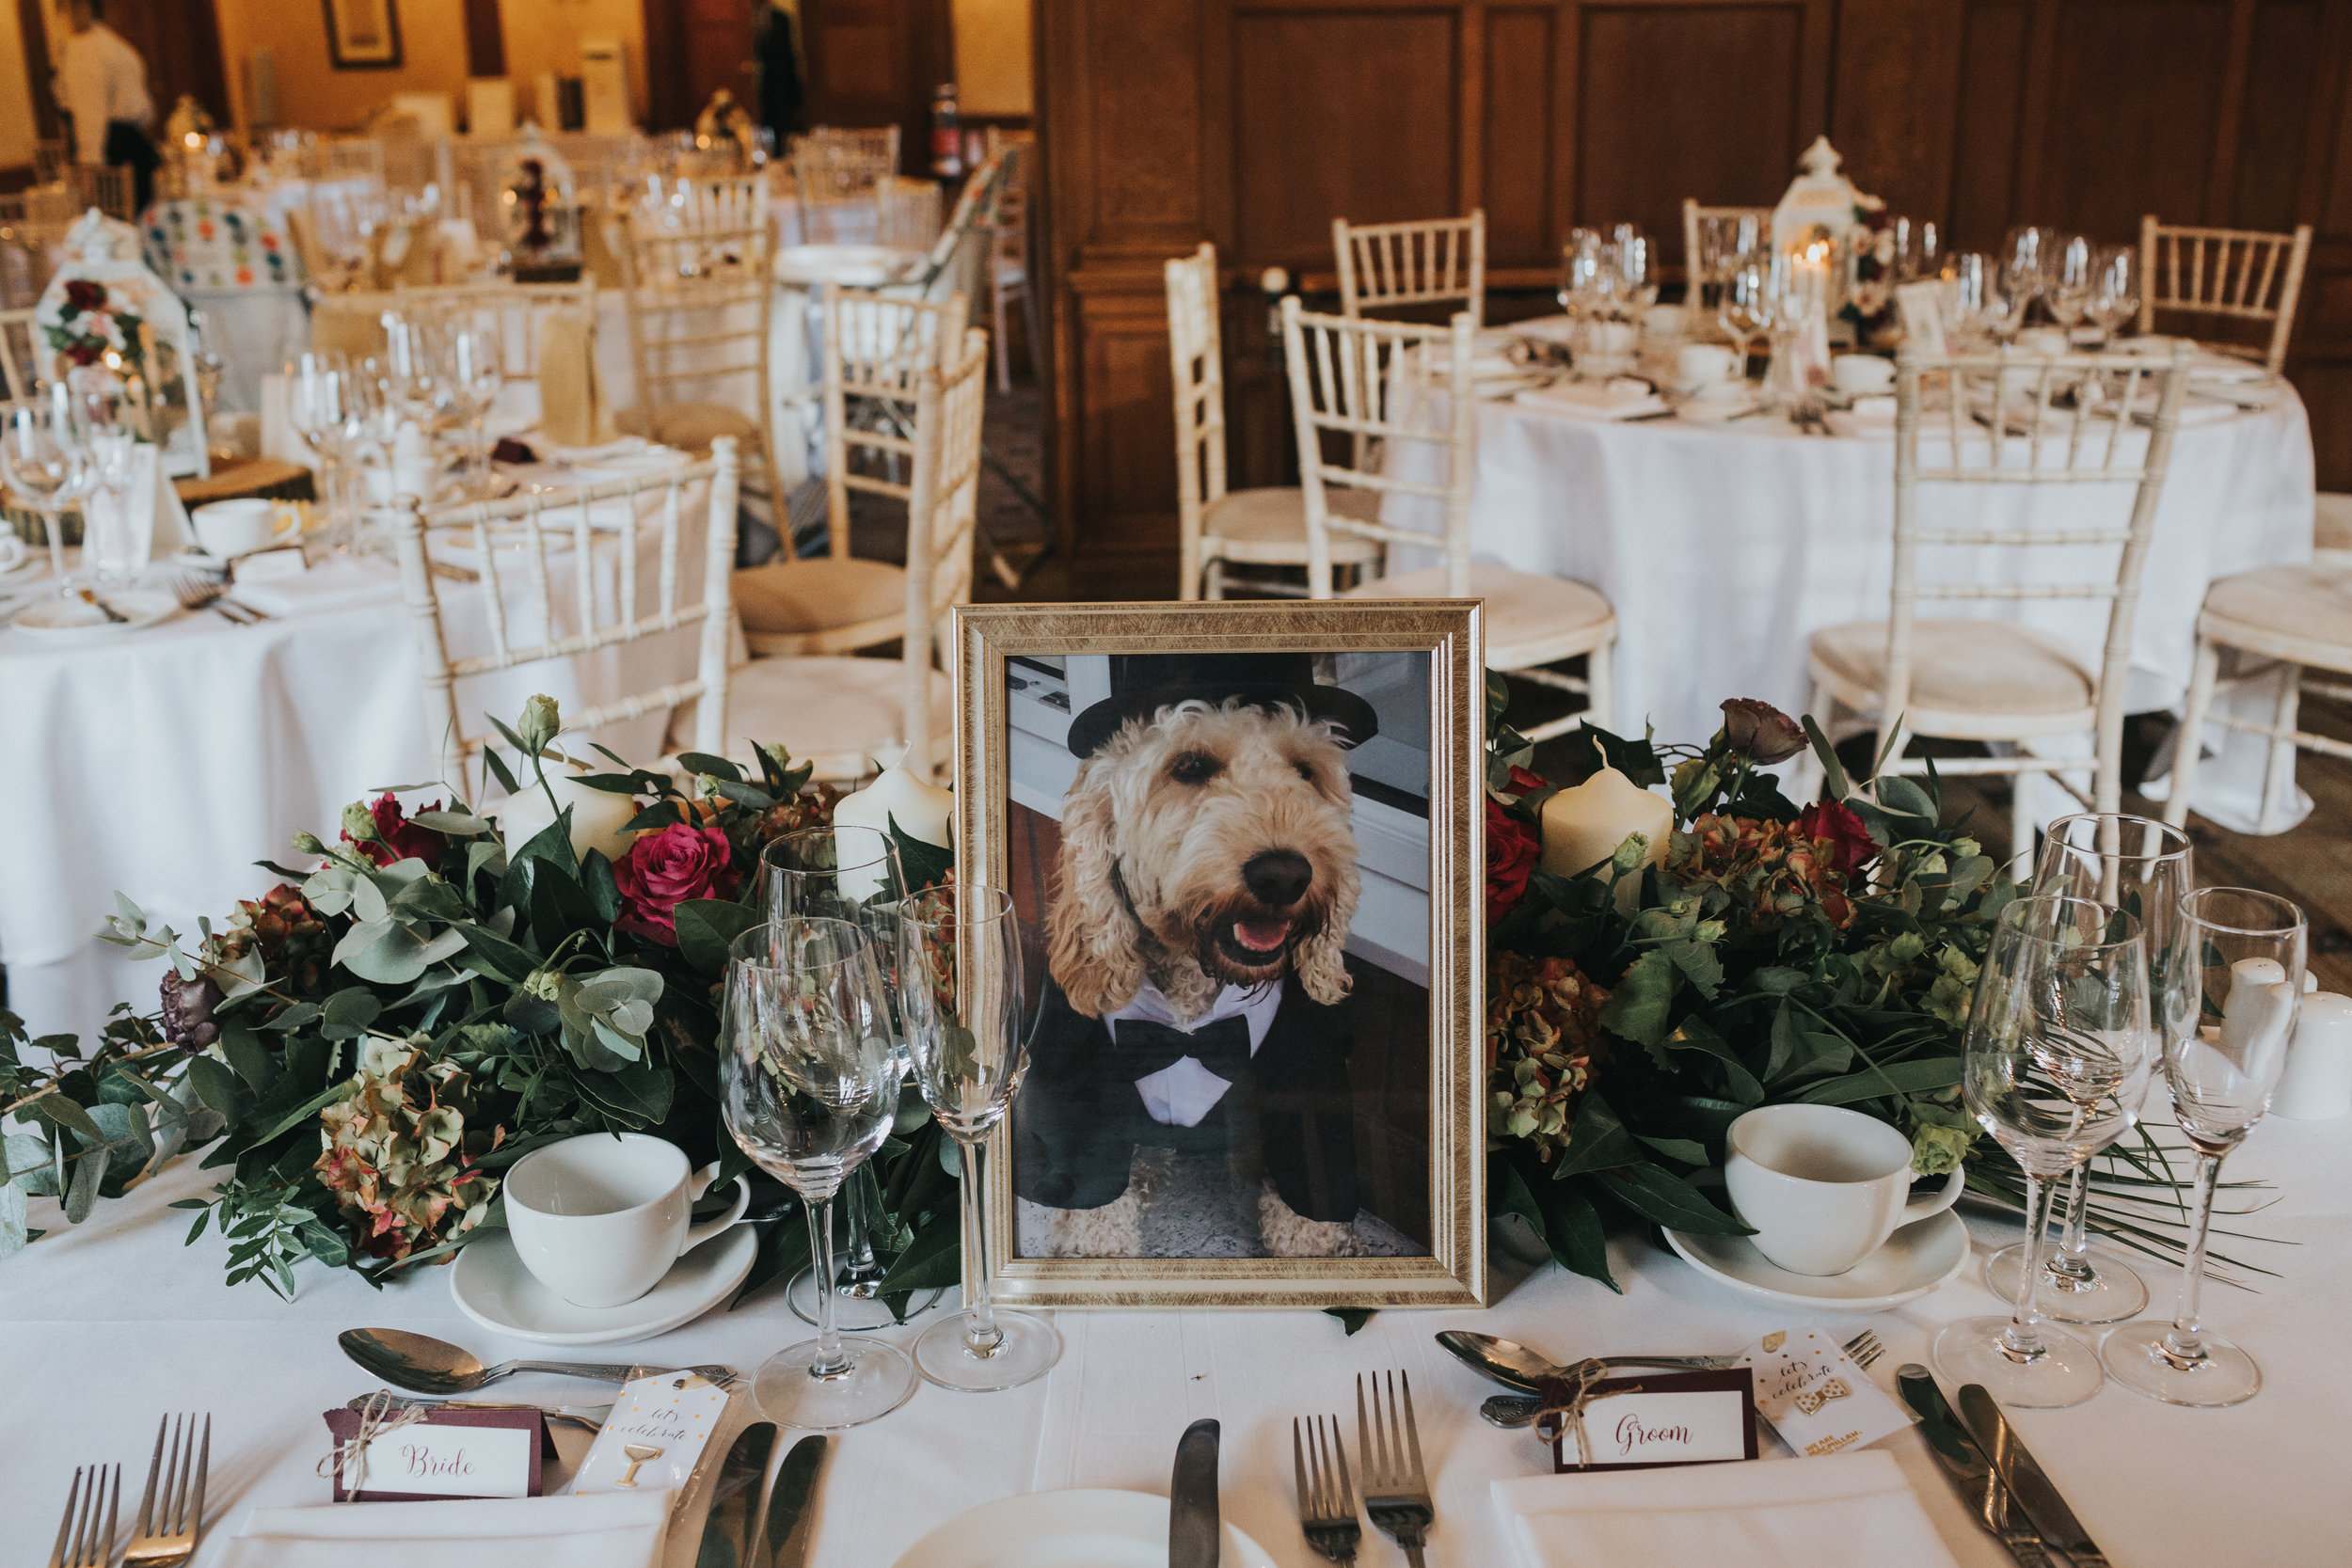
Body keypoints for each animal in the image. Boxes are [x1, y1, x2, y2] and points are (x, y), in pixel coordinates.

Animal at [1016, 657, 1374, 1259]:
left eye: (1305, 771)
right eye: (1190, 767)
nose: (1284, 875)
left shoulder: (1308, 1077)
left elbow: (1309, 1207)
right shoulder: (1080, 1097)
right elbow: (1097, 1218)